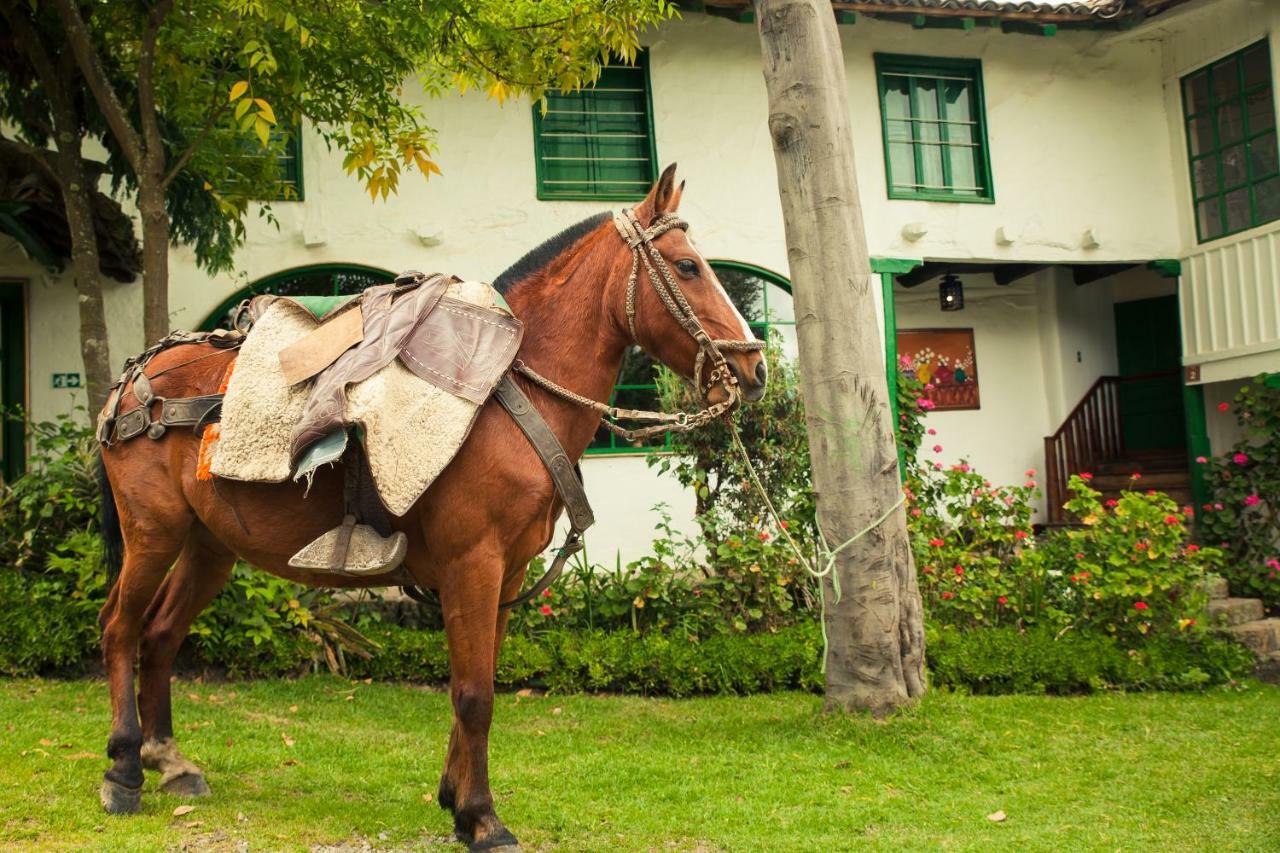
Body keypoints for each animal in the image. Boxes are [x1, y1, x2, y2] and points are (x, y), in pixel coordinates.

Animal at [97, 163, 768, 845]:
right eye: (687, 267)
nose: (756, 369)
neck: (512, 393)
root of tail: (136, 378)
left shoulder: (508, 572)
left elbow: (479, 682)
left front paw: (456, 800)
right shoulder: (473, 563)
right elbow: (474, 694)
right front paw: (484, 819)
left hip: (208, 545)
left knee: (160, 633)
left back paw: (171, 762)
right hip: (152, 531)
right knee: (119, 627)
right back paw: (124, 769)